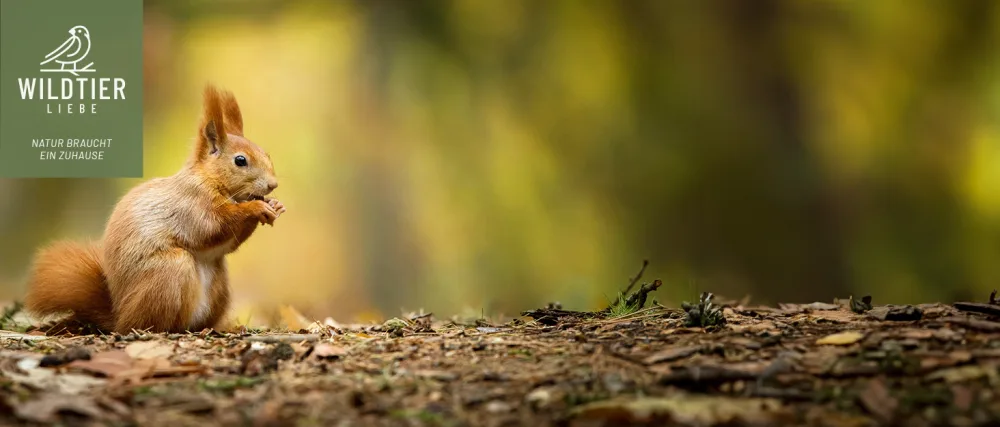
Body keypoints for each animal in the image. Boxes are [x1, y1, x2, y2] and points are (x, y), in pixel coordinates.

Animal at [24, 84, 285, 334]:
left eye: (267, 154)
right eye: (240, 161)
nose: (273, 185)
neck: (209, 179)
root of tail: (119, 314)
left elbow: (229, 243)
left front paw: (274, 206)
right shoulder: (190, 206)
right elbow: (213, 227)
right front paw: (255, 207)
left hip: (219, 284)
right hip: (169, 272)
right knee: (148, 322)